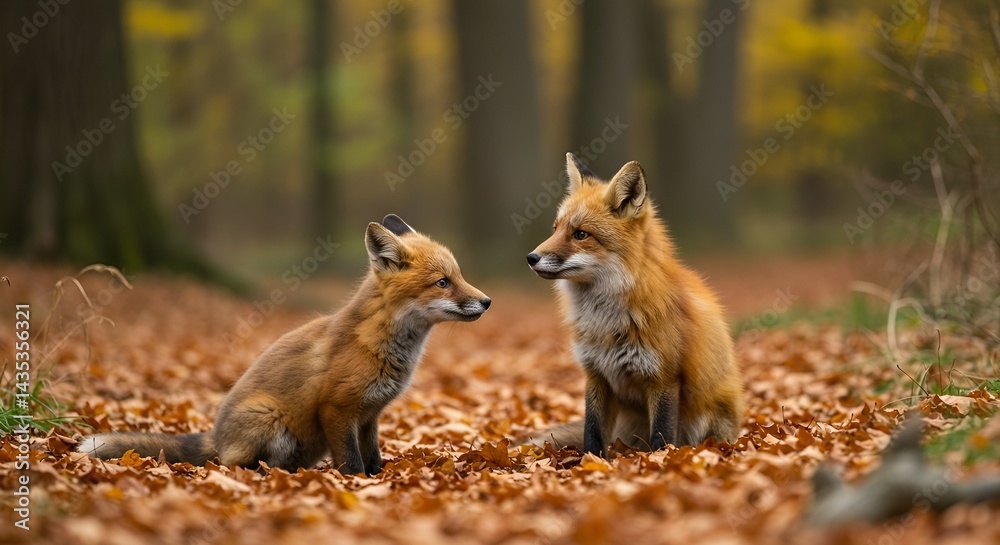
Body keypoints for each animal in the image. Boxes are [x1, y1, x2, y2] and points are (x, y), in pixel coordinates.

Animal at [78, 214, 491, 475]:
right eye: (442, 282)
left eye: (459, 276)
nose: (486, 301)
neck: (380, 343)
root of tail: (217, 437)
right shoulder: (337, 409)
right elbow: (353, 462)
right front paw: (357, 485)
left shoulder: (370, 414)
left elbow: (373, 456)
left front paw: (381, 480)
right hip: (269, 419)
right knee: (232, 465)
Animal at [525, 153, 744, 457]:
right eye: (555, 229)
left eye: (580, 234)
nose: (531, 257)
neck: (605, 321)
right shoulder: (596, 375)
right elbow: (592, 432)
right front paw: (591, 461)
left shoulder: (664, 378)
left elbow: (662, 435)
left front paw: (661, 461)